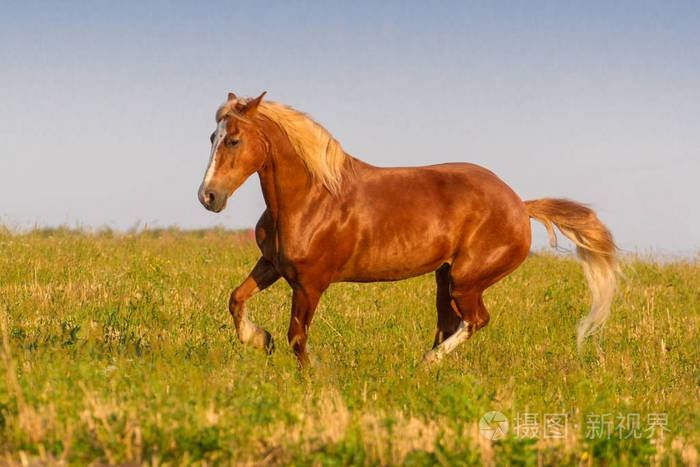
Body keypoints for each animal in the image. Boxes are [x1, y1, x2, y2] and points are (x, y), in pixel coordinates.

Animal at [198, 92, 617, 366]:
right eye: (212, 137)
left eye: (233, 140)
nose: (208, 196)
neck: (312, 199)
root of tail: (519, 205)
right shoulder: (272, 265)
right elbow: (236, 299)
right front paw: (259, 339)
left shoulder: (310, 284)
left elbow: (297, 339)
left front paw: (312, 375)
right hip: (445, 278)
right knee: (450, 323)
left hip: (467, 279)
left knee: (475, 320)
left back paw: (427, 364)